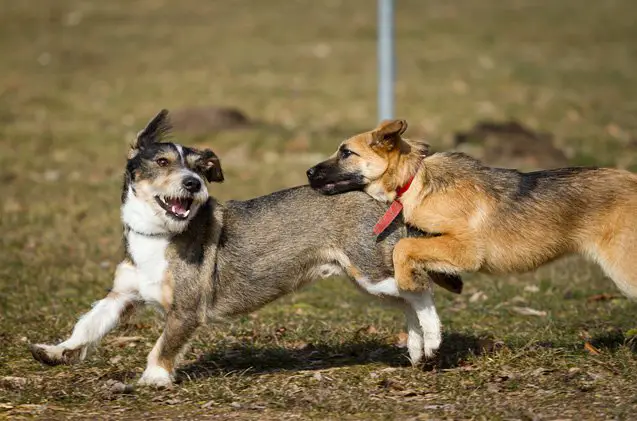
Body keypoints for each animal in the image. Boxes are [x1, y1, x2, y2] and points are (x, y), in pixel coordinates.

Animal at [29, 110, 460, 388]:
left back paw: (433, 340)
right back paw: (419, 350)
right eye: (163, 161)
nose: (192, 184)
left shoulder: (186, 310)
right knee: (408, 300)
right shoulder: (121, 296)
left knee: (421, 292)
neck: (158, 236)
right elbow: (87, 325)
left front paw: (153, 378)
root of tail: (386, 197)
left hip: (371, 273)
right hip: (368, 279)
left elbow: (162, 345)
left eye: (200, 168)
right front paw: (55, 351)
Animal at [304, 118, 637, 300]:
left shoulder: (467, 249)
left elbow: (404, 248)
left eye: (346, 153)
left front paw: (407, 282)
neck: (415, 182)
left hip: (626, 270)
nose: (308, 172)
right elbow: (414, 246)